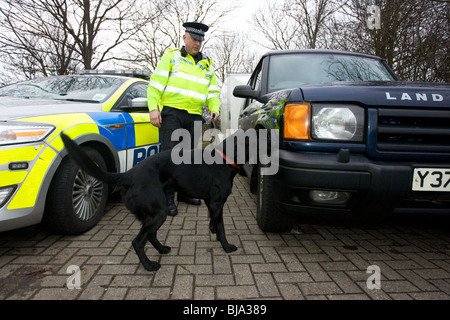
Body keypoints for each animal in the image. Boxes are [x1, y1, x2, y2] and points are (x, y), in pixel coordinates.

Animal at [59, 129, 251, 272]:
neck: (223, 159)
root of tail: (129, 174)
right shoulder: (216, 203)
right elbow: (222, 228)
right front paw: (226, 246)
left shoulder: (212, 204)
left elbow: (214, 222)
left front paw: (214, 232)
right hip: (159, 212)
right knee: (138, 242)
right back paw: (149, 265)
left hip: (154, 213)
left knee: (150, 235)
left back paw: (162, 249)